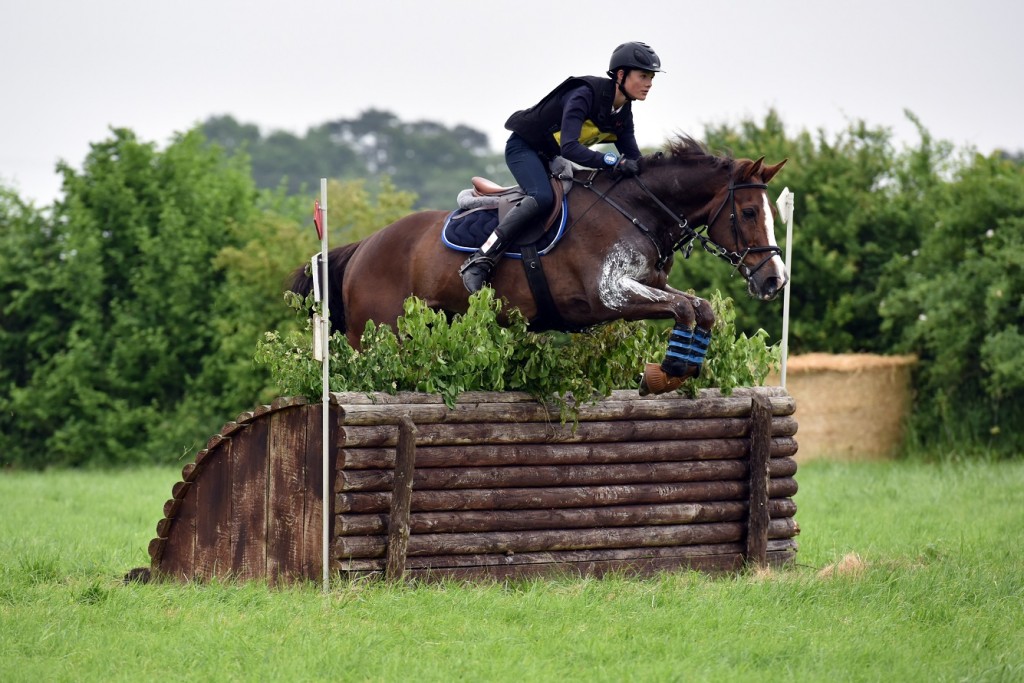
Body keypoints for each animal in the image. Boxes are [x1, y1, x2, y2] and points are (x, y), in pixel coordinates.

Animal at [292, 137, 786, 395]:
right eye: (747, 213)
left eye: (770, 212)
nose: (774, 280)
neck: (636, 208)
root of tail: (363, 247)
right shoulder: (609, 297)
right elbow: (685, 308)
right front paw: (663, 373)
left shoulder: (645, 287)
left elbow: (701, 308)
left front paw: (678, 368)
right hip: (378, 334)